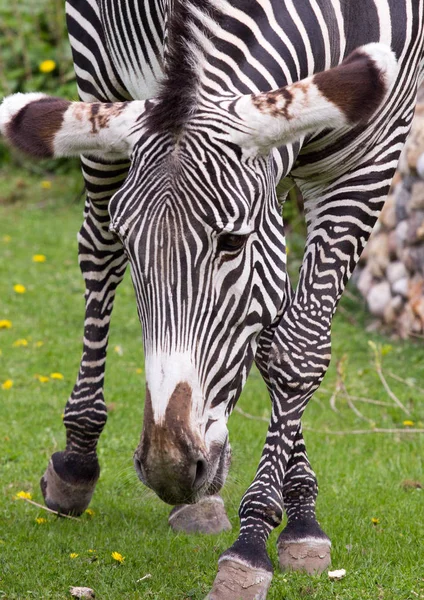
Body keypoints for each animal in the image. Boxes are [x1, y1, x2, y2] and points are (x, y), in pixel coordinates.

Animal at [0, 1, 424, 600]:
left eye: (231, 242)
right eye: (134, 244)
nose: (170, 467)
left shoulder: (373, 156)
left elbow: (295, 349)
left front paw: (283, 525)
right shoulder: (163, 81)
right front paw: (256, 532)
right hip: (96, 72)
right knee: (95, 252)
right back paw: (82, 463)